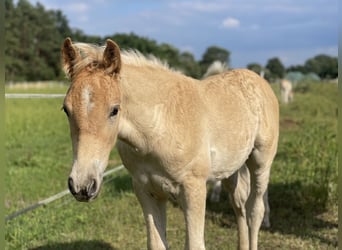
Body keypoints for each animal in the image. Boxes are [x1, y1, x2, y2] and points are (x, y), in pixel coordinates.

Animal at [61, 37, 280, 250]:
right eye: (66, 109)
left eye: (114, 110)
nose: (82, 185)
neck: (159, 129)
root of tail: (258, 79)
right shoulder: (146, 191)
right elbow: (156, 244)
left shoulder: (194, 190)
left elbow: (195, 244)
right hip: (230, 169)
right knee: (239, 204)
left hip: (261, 162)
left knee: (255, 210)